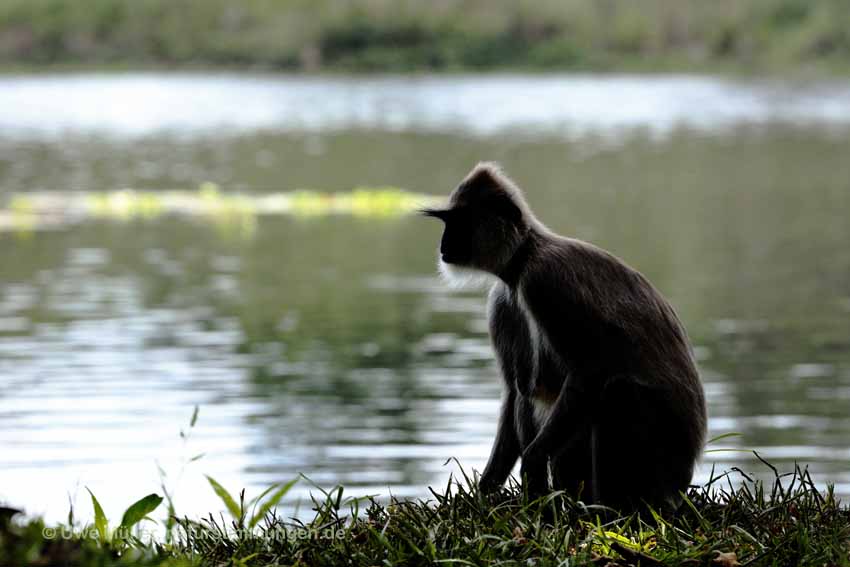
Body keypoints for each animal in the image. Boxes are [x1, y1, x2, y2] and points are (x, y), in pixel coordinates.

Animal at [420, 162, 704, 512]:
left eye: (459, 223)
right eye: (447, 223)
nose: (443, 245)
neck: (524, 258)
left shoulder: (545, 282)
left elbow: (590, 372)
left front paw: (531, 466)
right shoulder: (503, 299)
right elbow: (514, 391)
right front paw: (484, 492)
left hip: (659, 468)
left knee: (617, 392)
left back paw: (607, 511)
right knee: (528, 390)